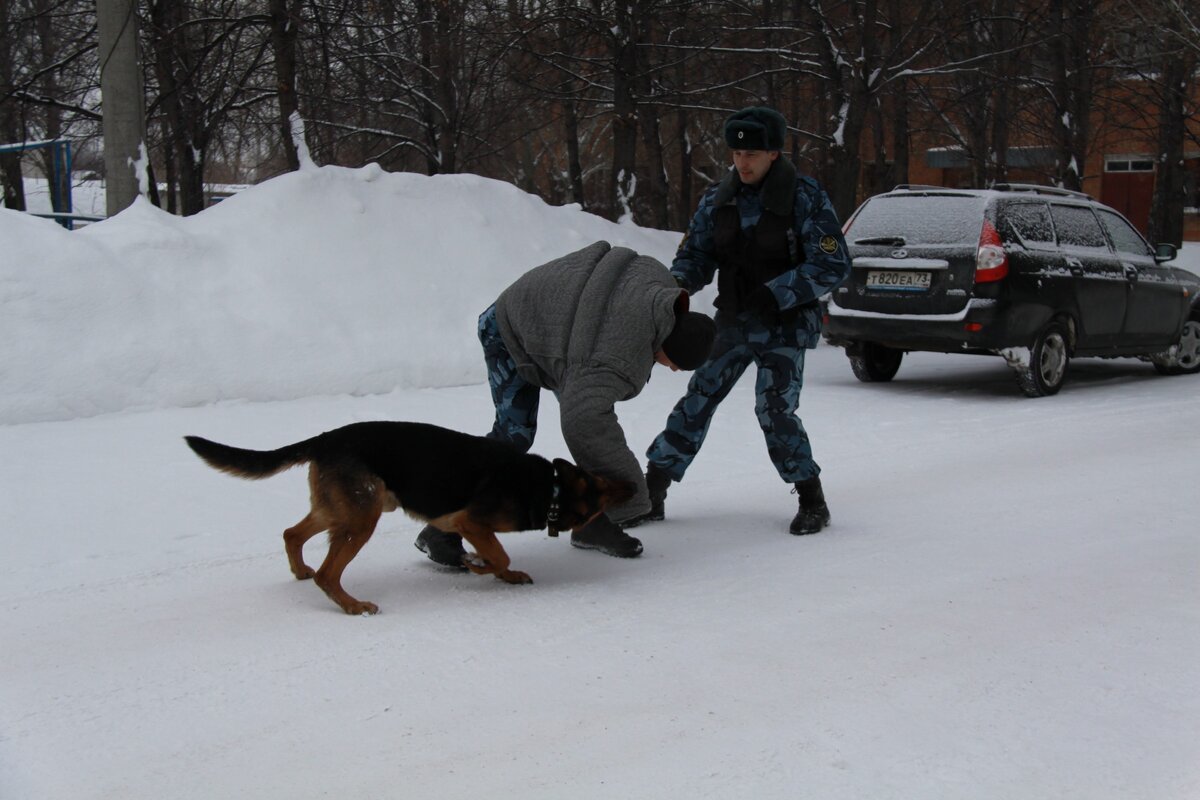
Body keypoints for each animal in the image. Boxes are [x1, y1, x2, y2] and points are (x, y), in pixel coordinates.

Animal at [184, 422, 638, 618]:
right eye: (602, 489)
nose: (633, 484)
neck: (551, 488)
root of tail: (326, 438)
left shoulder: (458, 523)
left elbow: (500, 558)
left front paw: (499, 574)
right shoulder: (469, 521)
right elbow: (499, 554)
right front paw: (480, 566)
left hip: (346, 509)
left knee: (292, 533)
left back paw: (300, 571)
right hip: (362, 518)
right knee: (328, 573)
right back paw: (352, 604)